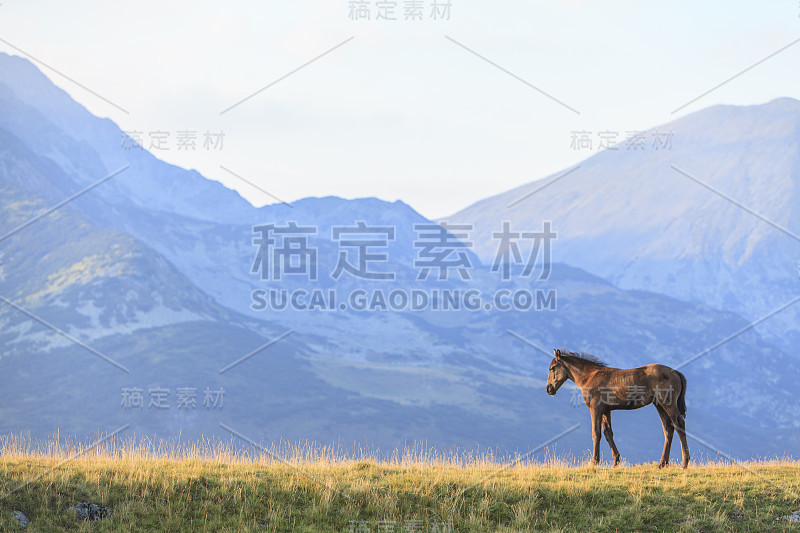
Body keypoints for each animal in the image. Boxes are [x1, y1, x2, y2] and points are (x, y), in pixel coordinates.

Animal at [548, 350, 692, 466]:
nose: (549, 389)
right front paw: (616, 461)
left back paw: (684, 463)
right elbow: (608, 433)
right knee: (668, 428)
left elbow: (596, 433)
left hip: (668, 403)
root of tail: (676, 372)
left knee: (679, 424)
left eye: (552, 368)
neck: (590, 376)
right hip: (659, 405)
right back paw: (662, 464)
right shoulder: (606, 410)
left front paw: (594, 462)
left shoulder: (595, 408)